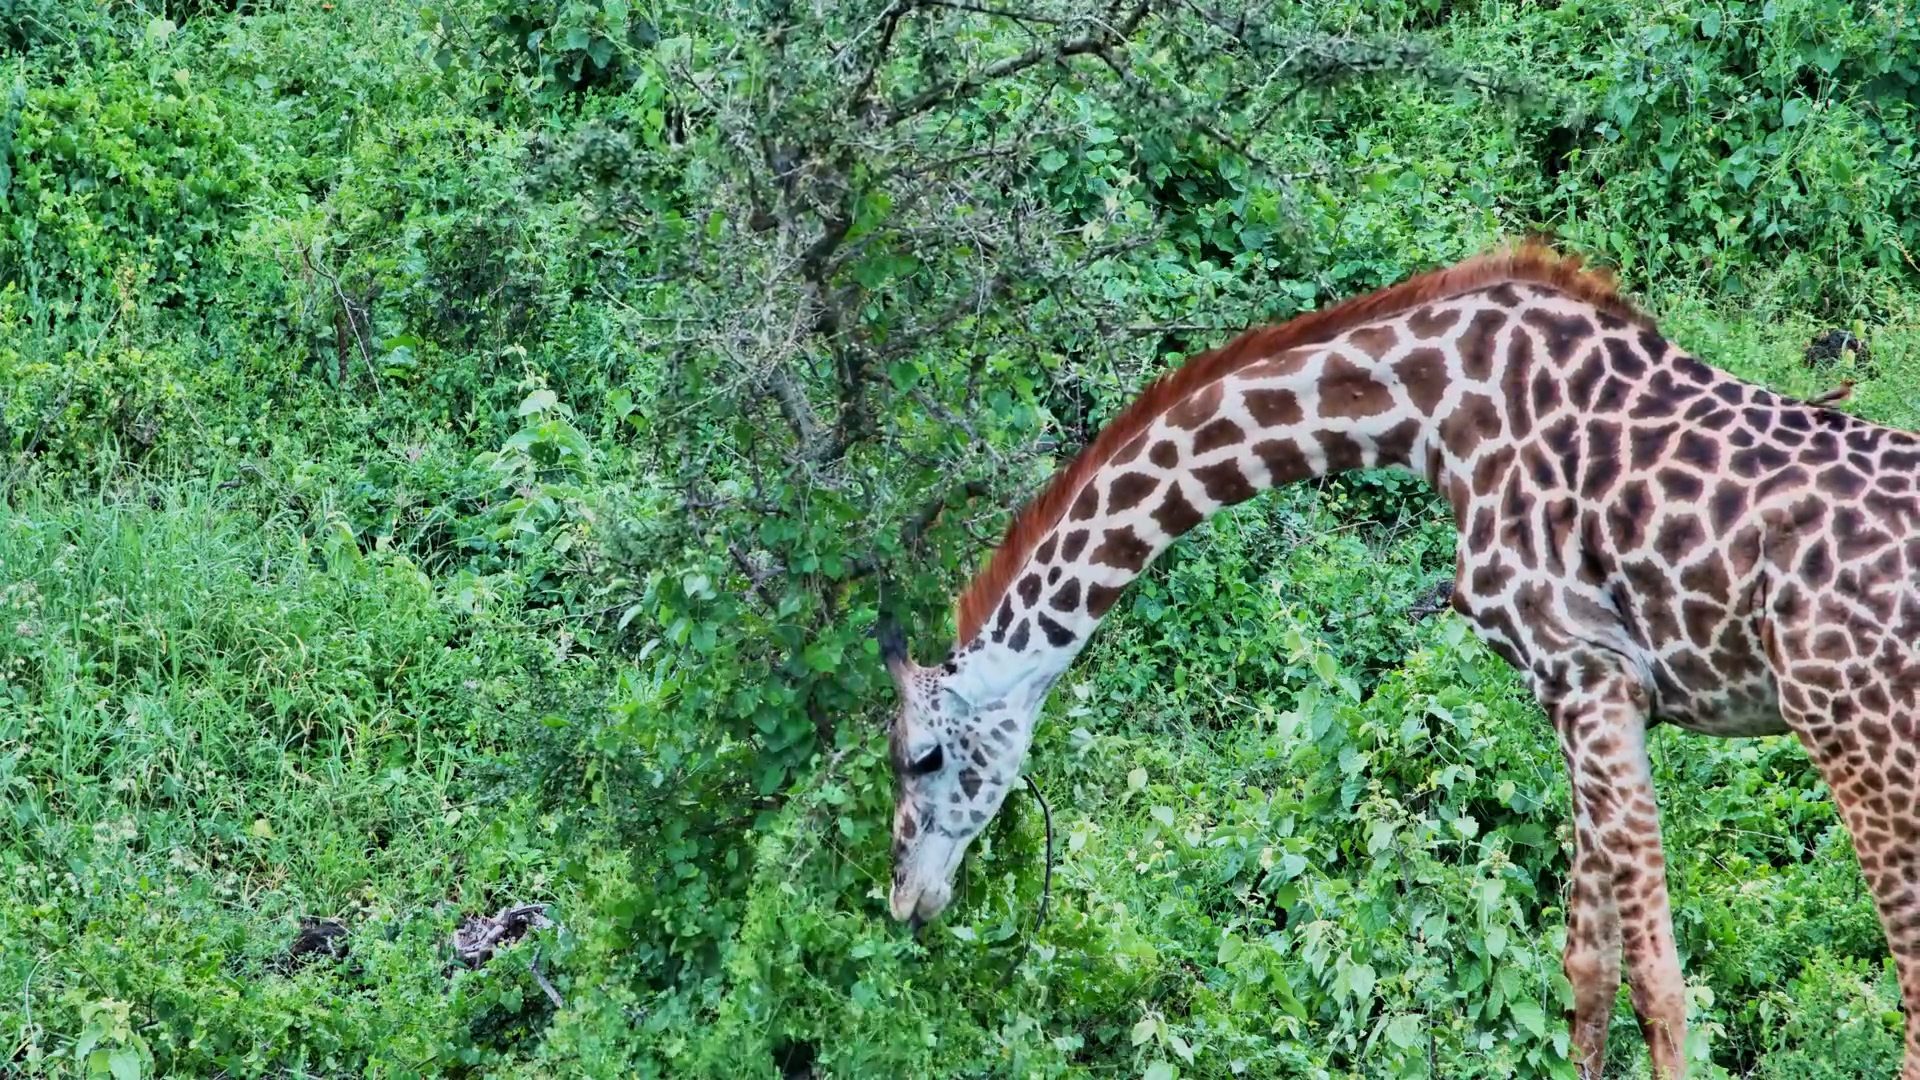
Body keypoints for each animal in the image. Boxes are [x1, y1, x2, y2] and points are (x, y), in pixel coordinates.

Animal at [875, 239, 1920, 1079]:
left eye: (920, 756)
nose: (904, 899)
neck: (1430, 408)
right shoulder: (1586, 689)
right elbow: (1587, 969)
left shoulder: (1589, 673)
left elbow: (1659, 987)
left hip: (1858, 735)